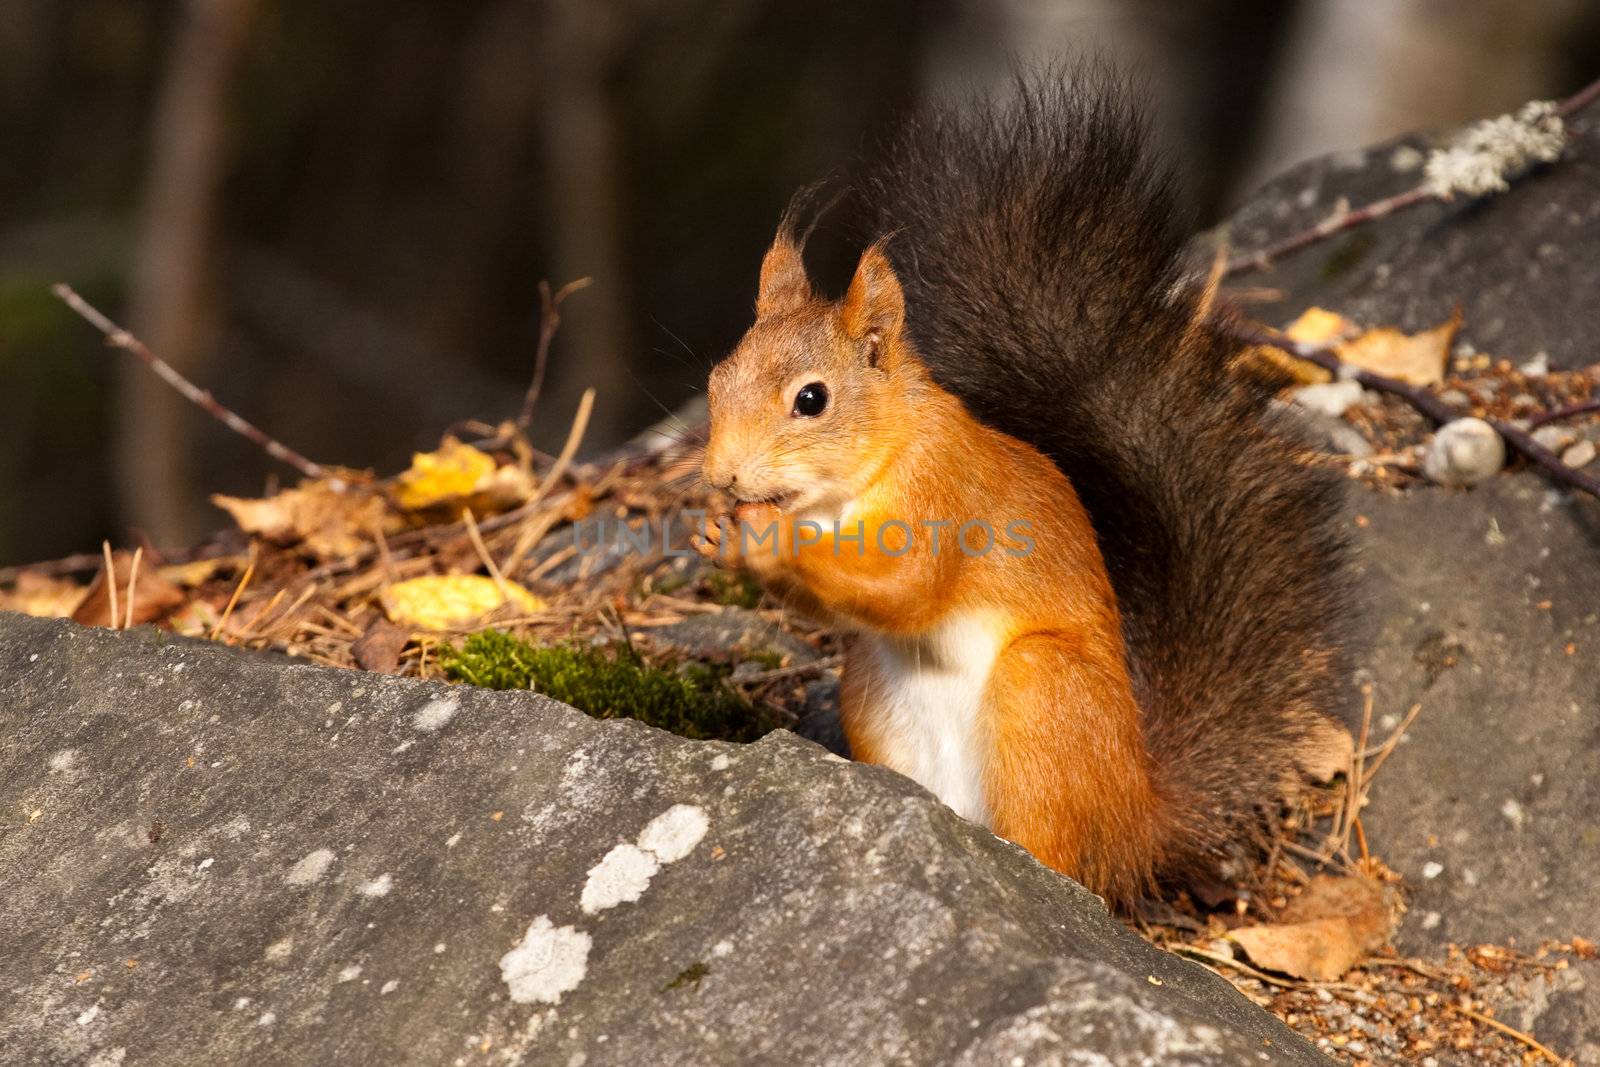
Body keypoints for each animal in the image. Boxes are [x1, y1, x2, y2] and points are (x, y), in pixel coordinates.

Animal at [697, 77, 1350, 908]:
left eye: (811, 400)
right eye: (717, 377)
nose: (721, 474)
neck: (847, 491)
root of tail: (1138, 818)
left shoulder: (947, 491)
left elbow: (908, 584)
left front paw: (767, 541)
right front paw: (720, 535)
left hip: (1043, 697)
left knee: (1060, 853)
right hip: (872, 695)